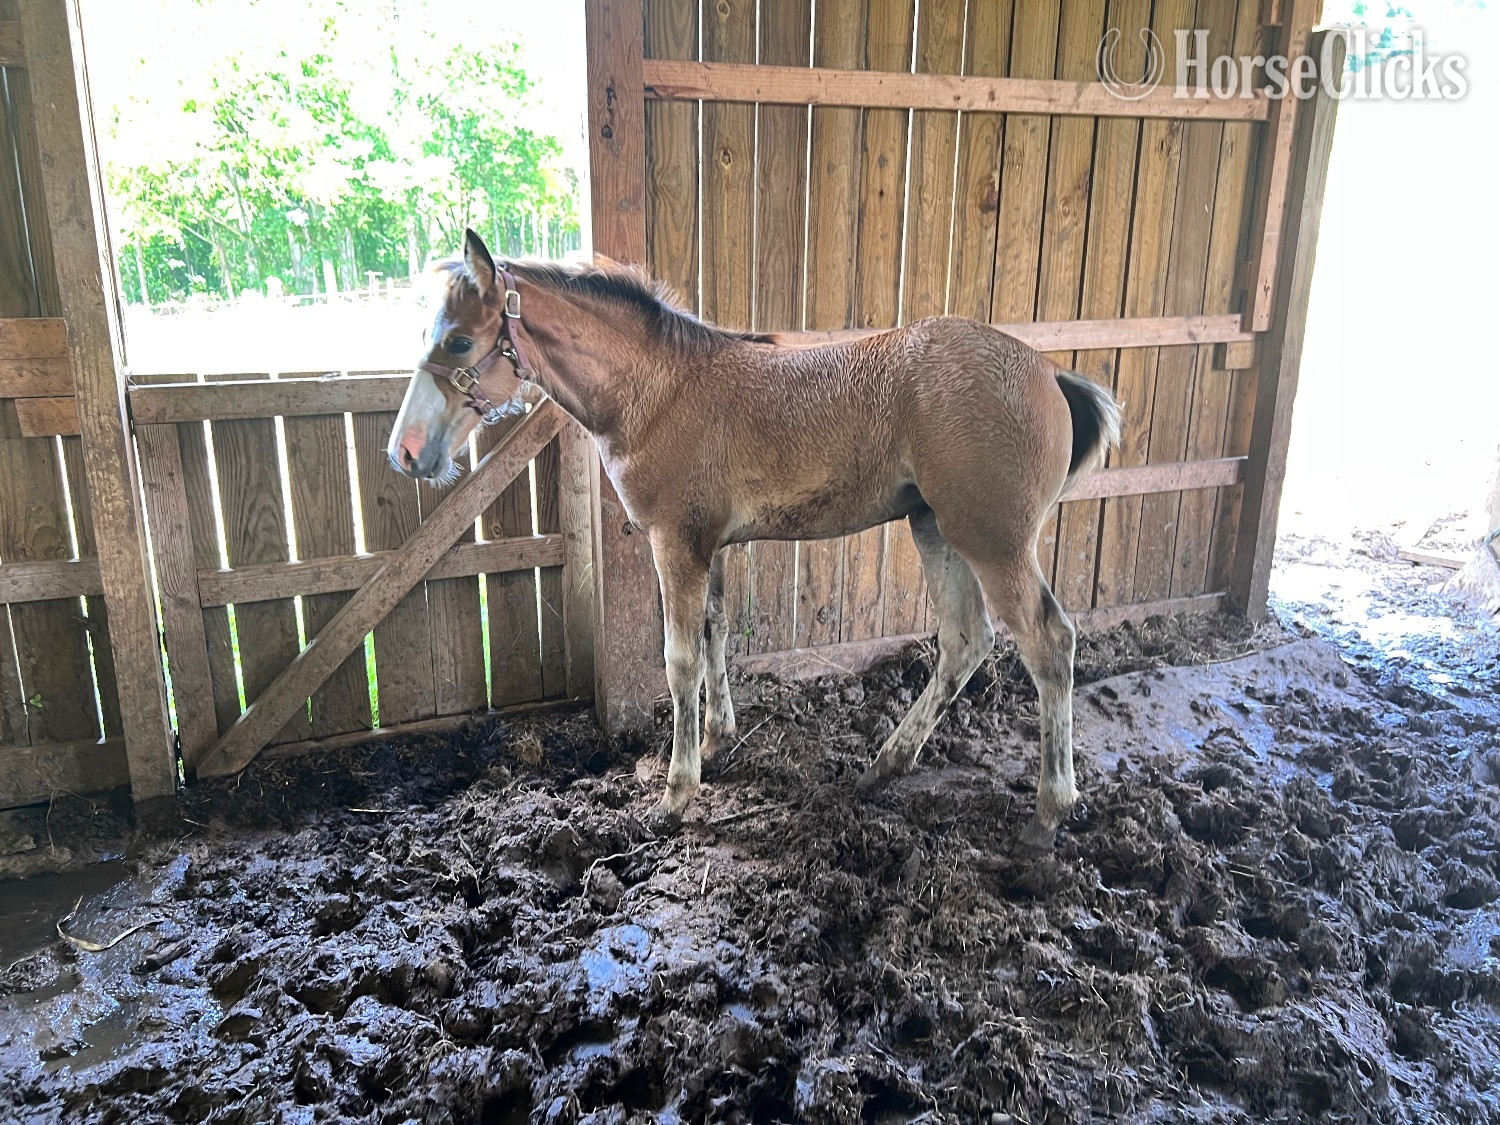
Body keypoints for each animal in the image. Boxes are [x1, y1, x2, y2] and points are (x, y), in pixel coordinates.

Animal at [389, 230, 1121, 849]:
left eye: (459, 342)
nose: (406, 452)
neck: (659, 390)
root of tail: (1050, 373)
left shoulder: (674, 542)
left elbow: (680, 659)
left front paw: (675, 792)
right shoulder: (708, 544)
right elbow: (716, 630)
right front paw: (717, 739)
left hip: (991, 540)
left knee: (1049, 641)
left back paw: (1049, 810)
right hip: (936, 527)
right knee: (965, 640)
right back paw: (885, 763)